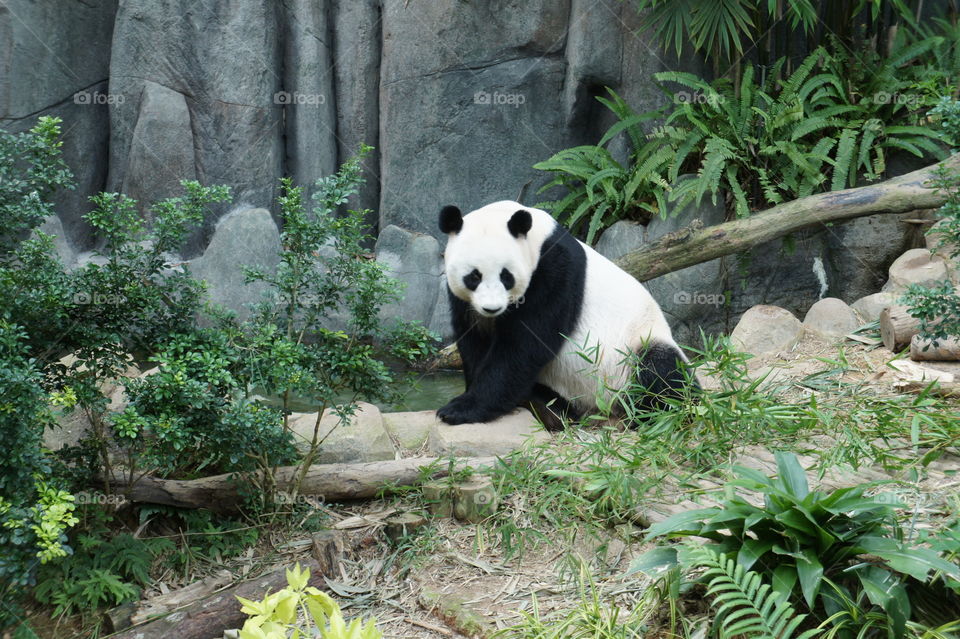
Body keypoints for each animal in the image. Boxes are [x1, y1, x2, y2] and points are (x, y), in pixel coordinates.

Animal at [436, 200, 695, 428]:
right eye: (474, 276)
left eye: (505, 276)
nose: (492, 308)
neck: (537, 237)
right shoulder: (466, 302)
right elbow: (474, 340)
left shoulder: (555, 270)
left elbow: (525, 345)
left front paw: (459, 409)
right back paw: (549, 406)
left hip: (633, 347)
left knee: (661, 372)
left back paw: (653, 413)